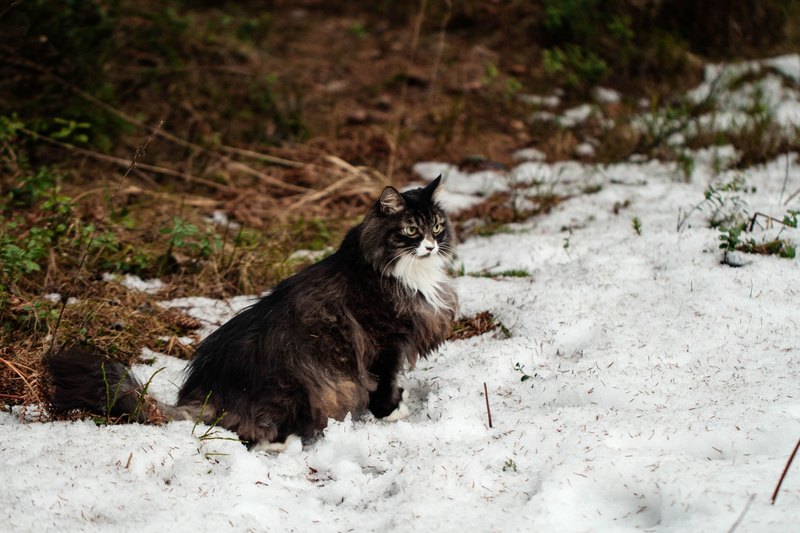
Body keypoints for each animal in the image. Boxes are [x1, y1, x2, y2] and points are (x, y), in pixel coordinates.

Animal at [48, 178, 456, 448]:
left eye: (437, 226)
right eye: (410, 230)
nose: (432, 245)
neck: (404, 273)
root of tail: (207, 396)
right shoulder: (384, 343)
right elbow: (382, 384)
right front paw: (392, 412)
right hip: (298, 384)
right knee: (260, 432)